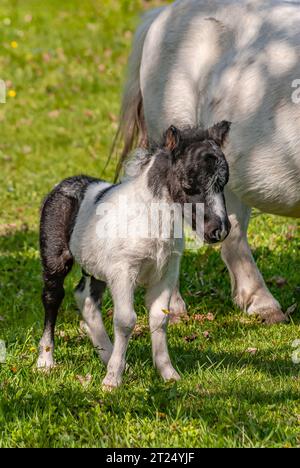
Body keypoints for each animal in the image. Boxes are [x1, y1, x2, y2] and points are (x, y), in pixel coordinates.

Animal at [37, 120, 230, 388]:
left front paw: (168, 374)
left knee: (86, 299)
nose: (219, 230)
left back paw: (110, 358)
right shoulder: (123, 271)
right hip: (56, 260)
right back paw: (45, 361)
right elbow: (126, 320)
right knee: (52, 298)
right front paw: (111, 381)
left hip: (96, 268)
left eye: (224, 183)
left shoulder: (167, 273)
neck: (151, 221)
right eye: (189, 186)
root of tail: (62, 185)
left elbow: (159, 318)